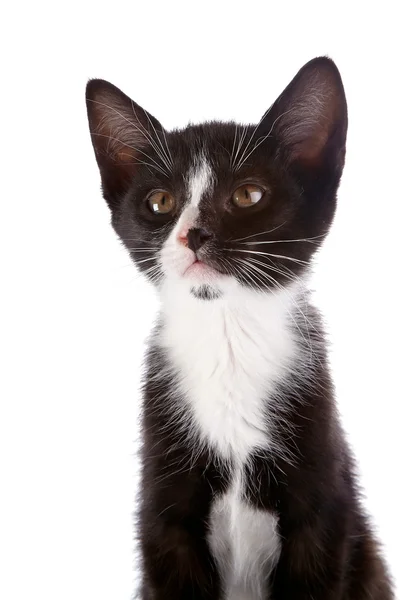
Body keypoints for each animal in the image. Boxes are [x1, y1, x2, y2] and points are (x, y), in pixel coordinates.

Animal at [85, 57, 394, 600]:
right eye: (160, 201)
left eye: (249, 194)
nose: (193, 234)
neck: (226, 338)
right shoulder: (163, 512)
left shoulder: (324, 506)